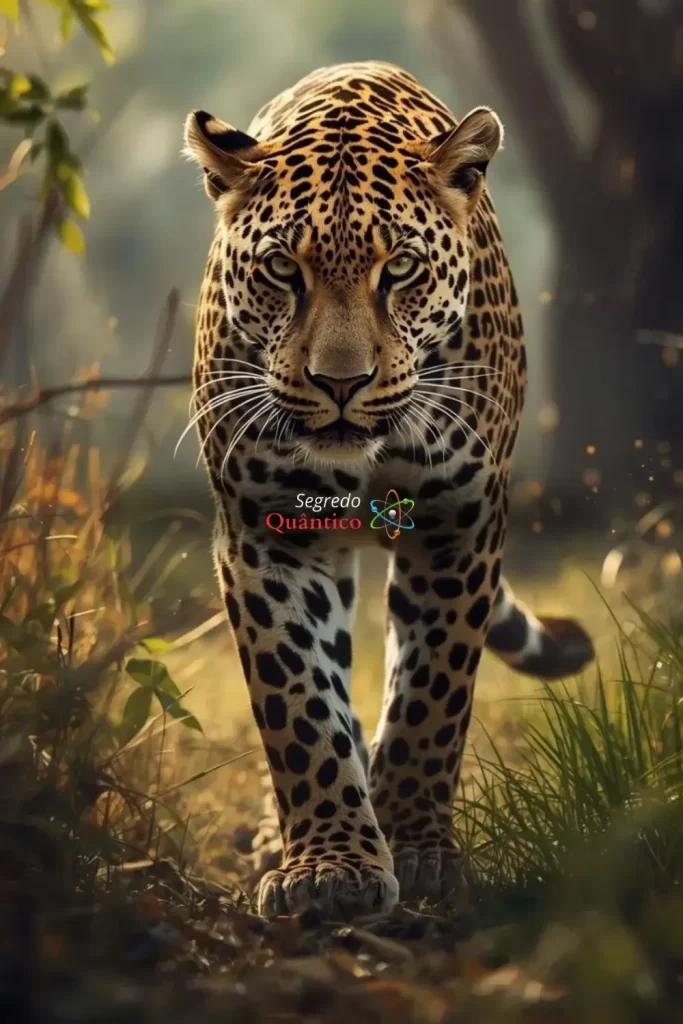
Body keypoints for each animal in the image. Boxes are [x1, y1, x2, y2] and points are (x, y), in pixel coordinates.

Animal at [183, 61, 594, 920]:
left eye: (398, 269)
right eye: (283, 270)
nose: (340, 384)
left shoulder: (456, 524)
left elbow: (431, 694)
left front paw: (413, 847)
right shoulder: (265, 533)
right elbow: (297, 704)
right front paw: (330, 863)